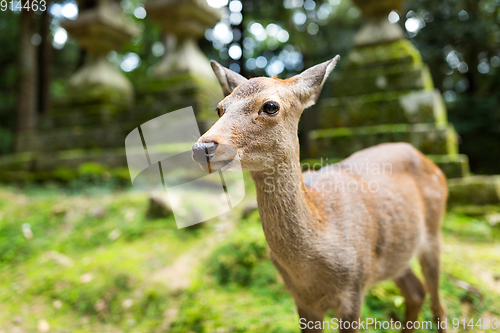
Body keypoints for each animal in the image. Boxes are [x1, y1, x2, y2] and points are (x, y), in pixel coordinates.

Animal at [191, 55, 450, 330]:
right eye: (220, 108)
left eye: (271, 106)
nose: (202, 148)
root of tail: (430, 162)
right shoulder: (302, 301)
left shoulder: (354, 288)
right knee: (416, 291)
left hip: (433, 232)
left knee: (438, 304)